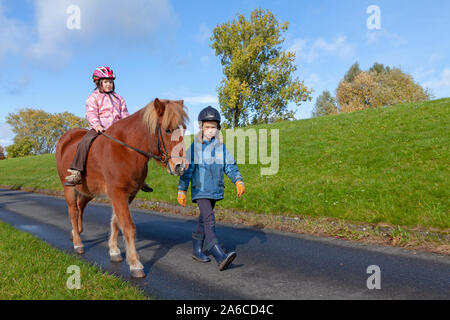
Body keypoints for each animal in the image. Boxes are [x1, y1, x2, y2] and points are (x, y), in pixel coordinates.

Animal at [55, 98, 188, 278]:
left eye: (184, 129)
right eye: (167, 130)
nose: (181, 166)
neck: (127, 149)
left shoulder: (128, 194)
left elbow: (116, 222)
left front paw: (114, 251)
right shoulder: (117, 193)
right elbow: (129, 227)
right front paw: (135, 264)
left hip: (88, 191)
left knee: (80, 206)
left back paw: (77, 232)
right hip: (68, 188)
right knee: (73, 212)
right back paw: (78, 243)